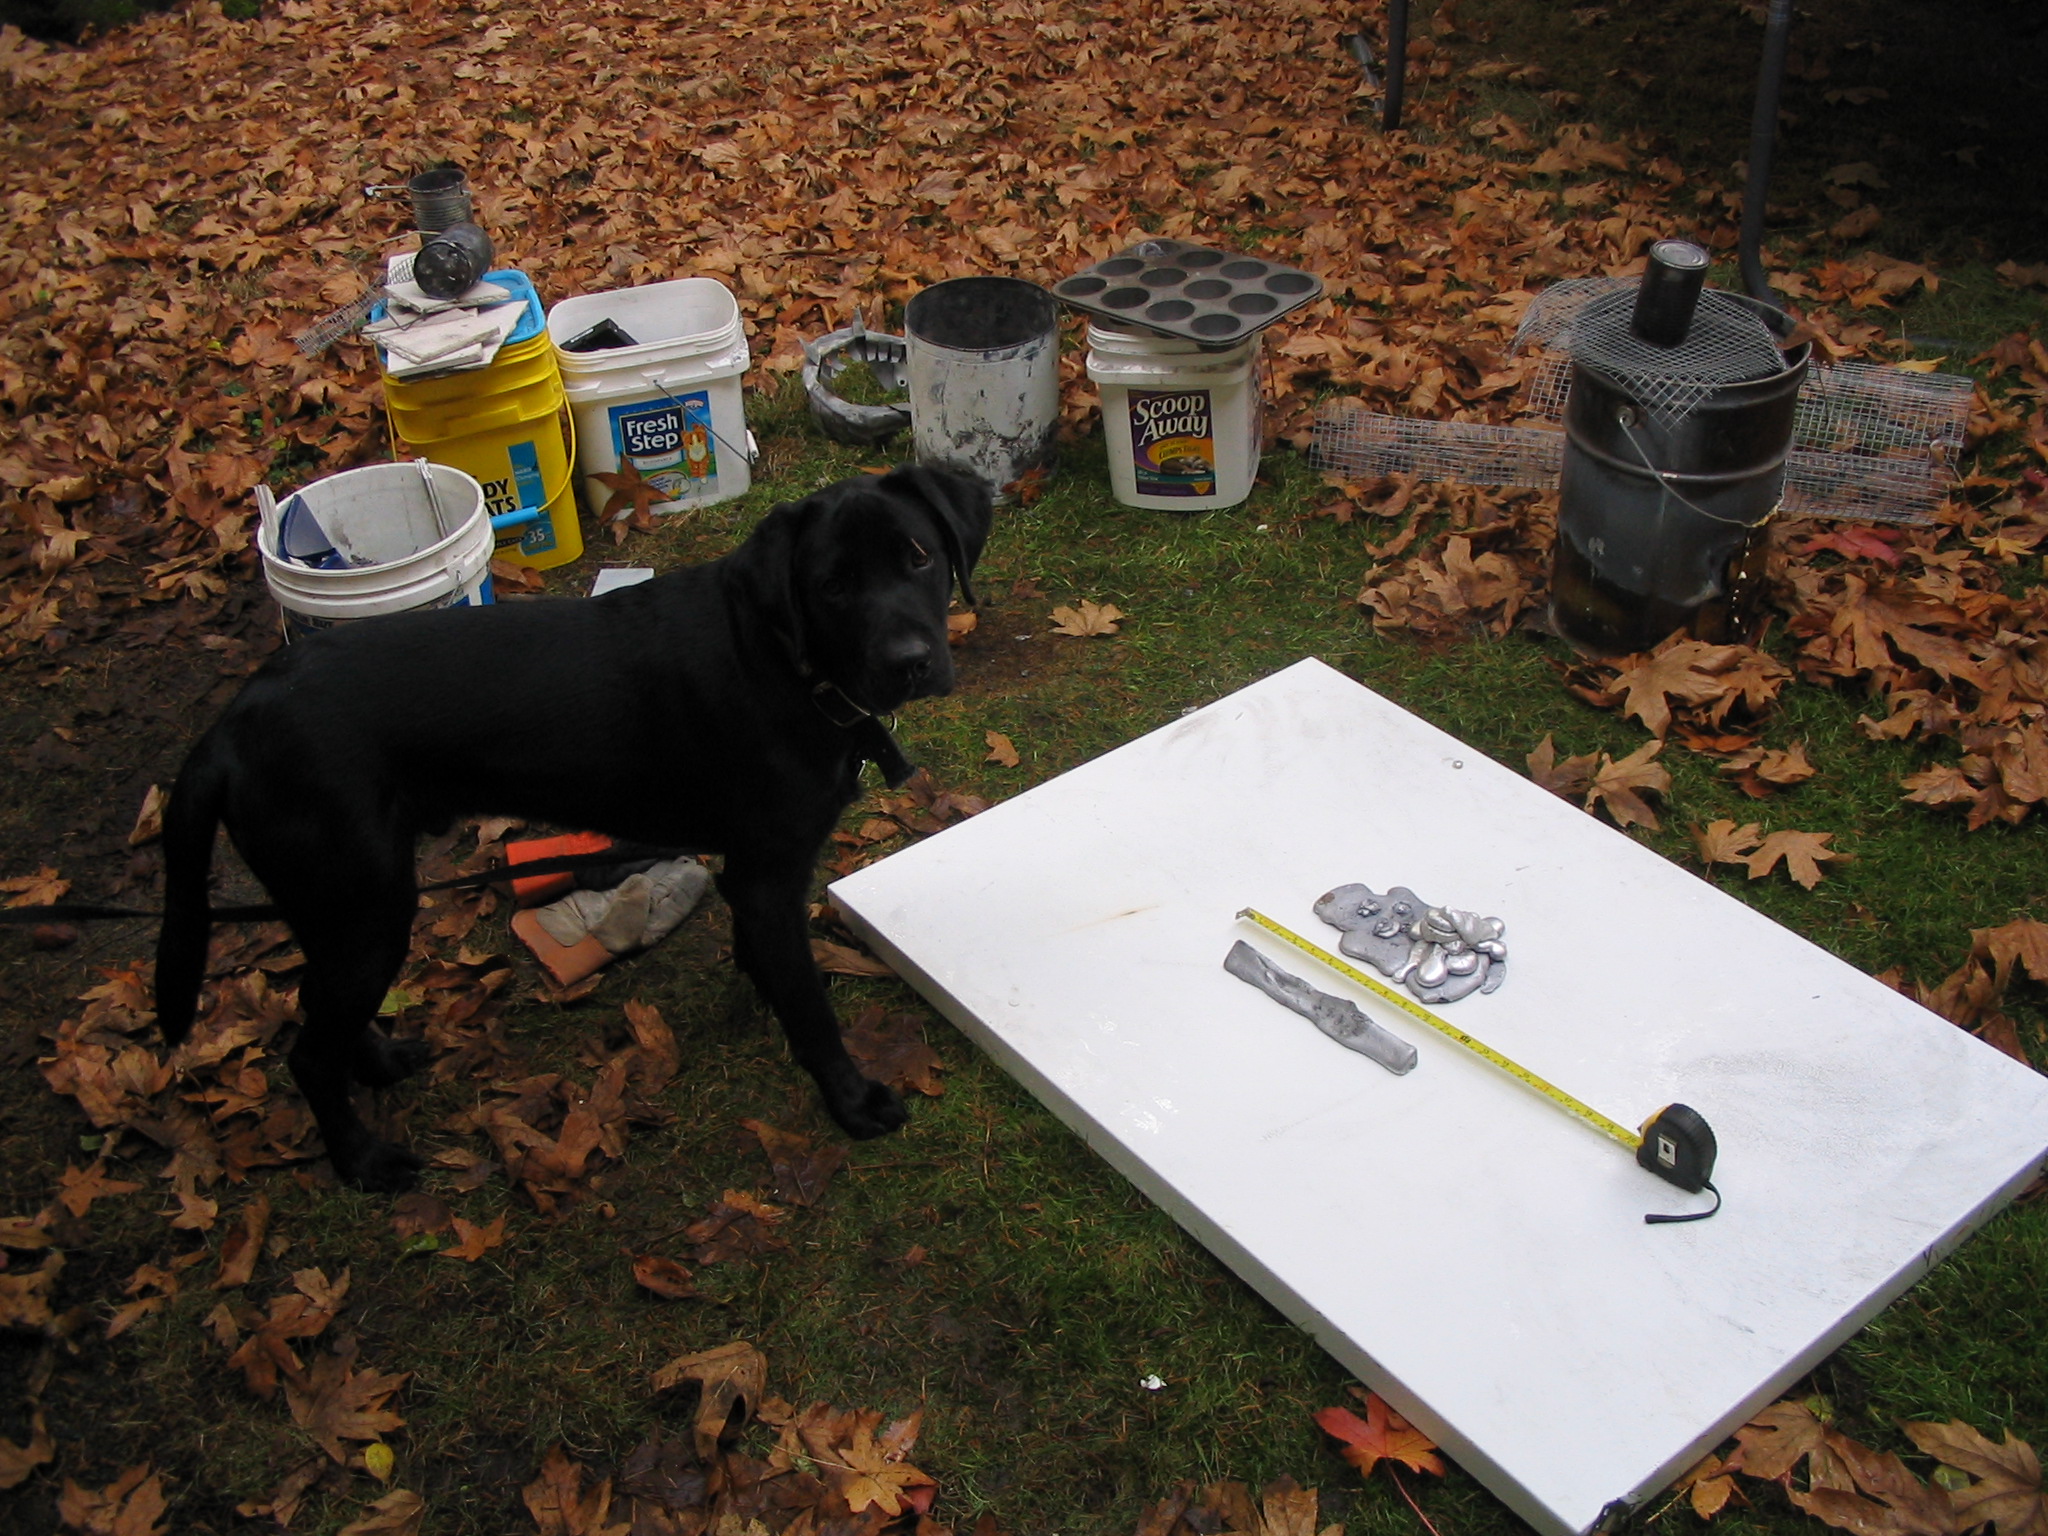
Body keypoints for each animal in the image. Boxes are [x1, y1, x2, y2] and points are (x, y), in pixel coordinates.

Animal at [153, 462, 991, 1196]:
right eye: (831, 586)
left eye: (919, 557)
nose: (912, 662)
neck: (785, 661)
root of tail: (227, 729)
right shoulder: (767, 873)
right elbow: (812, 1011)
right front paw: (851, 1101)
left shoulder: (754, 872)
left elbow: (768, 962)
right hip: (367, 908)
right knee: (307, 1053)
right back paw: (363, 1161)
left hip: (332, 906)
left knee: (314, 1005)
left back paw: (382, 1063)